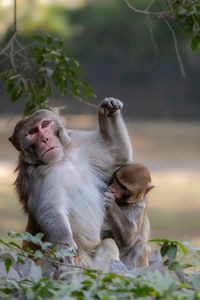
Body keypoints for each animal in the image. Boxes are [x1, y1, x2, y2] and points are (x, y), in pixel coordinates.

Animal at [9, 98, 133, 272]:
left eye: (45, 125)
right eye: (32, 132)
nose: (45, 139)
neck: (61, 158)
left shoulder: (78, 144)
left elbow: (118, 154)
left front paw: (108, 110)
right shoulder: (36, 176)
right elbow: (50, 208)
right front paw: (65, 245)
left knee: (109, 243)